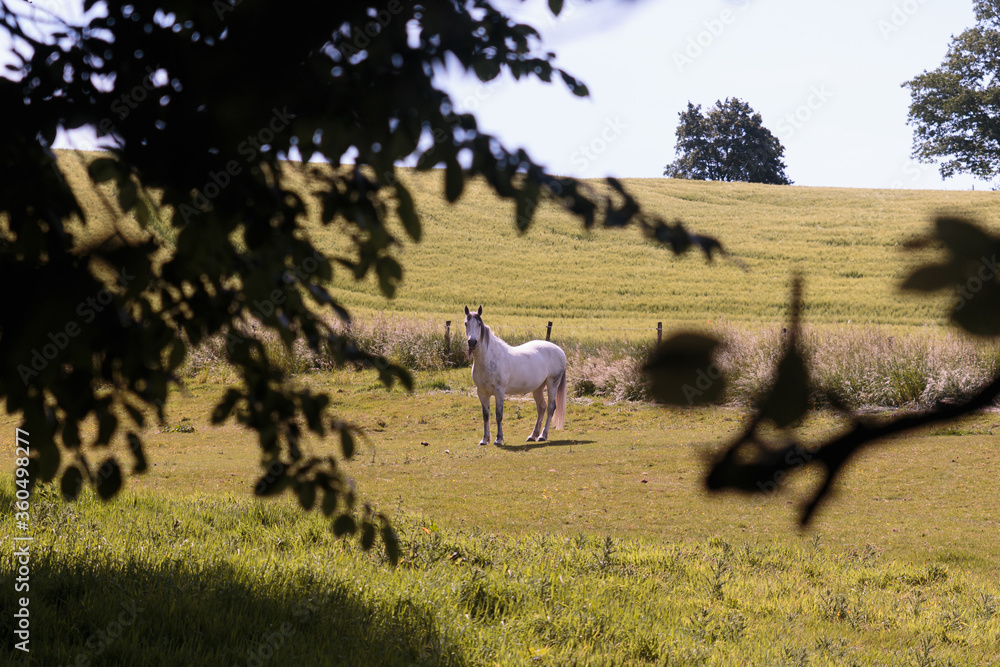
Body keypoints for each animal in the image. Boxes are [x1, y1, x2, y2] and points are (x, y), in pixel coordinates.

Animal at [463, 305, 567, 446]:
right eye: (466, 323)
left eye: (479, 324)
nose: (472, 342)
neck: (489, 359)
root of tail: (560, 351)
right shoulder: (482, 393)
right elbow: (486, 415)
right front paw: (484, 440)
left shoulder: (499, 392)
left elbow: (498, 415)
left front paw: (498, 439)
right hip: (538, 388)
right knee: (541, 408)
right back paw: (533, 436)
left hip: (553, 383)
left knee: (551, 408)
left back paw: (543, 436)